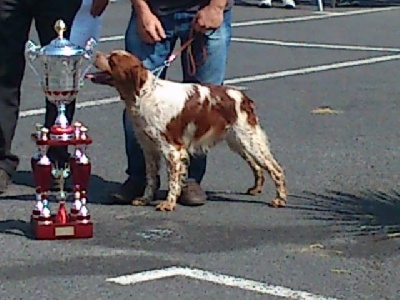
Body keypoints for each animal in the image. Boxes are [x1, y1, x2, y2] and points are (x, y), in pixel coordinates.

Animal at [88, 50, 288, 211]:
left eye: (112, 60)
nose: (95, 53)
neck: (145, 94)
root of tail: (244, 97)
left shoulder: (172, 149)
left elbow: (173, 181)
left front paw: (168, 204)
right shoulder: (149, 148)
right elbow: (151, 179)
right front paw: (145, 199)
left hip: (249, 140)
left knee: (275, 169)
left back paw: (279, 199)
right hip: (238, 142)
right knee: (257, 166)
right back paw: (256, 189)